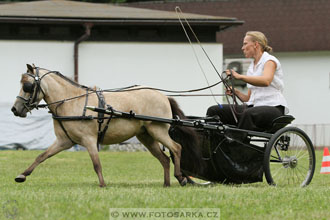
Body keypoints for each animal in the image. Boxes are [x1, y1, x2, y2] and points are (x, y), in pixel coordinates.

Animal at [10, 63, 201, 187]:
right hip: (146, 136)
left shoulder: (89, 140)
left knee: (176, 148)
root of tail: (163, 96)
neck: (72, 101)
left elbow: (96, 164)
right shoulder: (64, 141)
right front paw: (22, 175)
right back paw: (167, 183)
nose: (15, 109)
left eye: (27, 86)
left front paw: (102, 185)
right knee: (164, 158)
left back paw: (180, 177)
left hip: (158, 130)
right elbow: (41, 156)